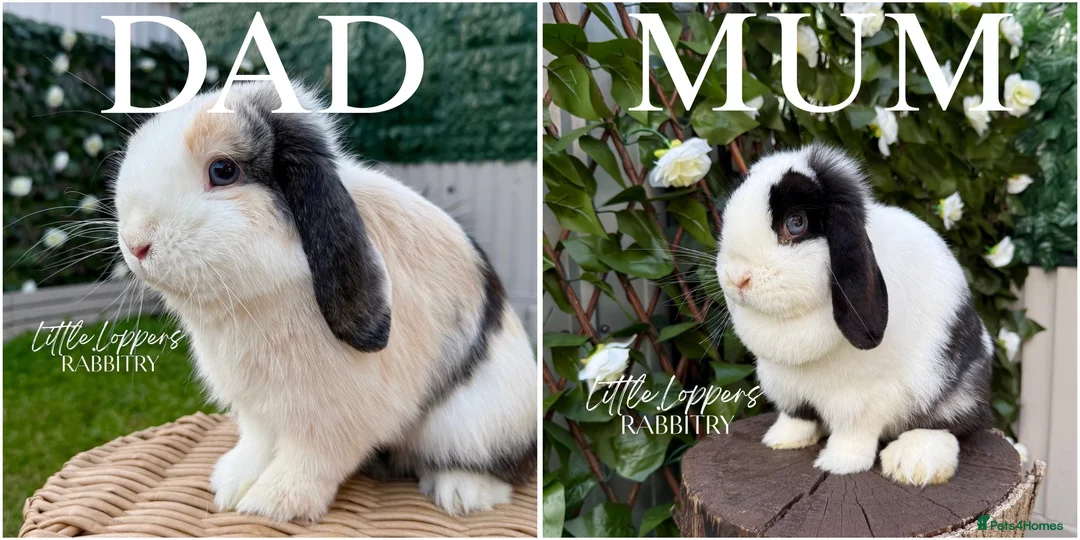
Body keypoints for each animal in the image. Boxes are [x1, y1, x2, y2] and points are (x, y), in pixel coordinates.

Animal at [112, 83, 537, 522]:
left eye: (223, 171)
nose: (135, 244)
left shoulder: (329, 417)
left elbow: (310, 461)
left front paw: (273, 503)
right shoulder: (256, 408)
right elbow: (257, 445)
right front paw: (231, 485)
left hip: (472, 424)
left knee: (505, 466)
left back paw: (461, 493)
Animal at [715, 143, 993, 486]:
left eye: (796, 223)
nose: (737, 277)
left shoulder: (864, 400)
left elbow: (853, 434)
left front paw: (838, 464)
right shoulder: (787, 386)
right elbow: (798, 416)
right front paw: (781, 439)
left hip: (957, 388)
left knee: (951, 424)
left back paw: (912, 463)